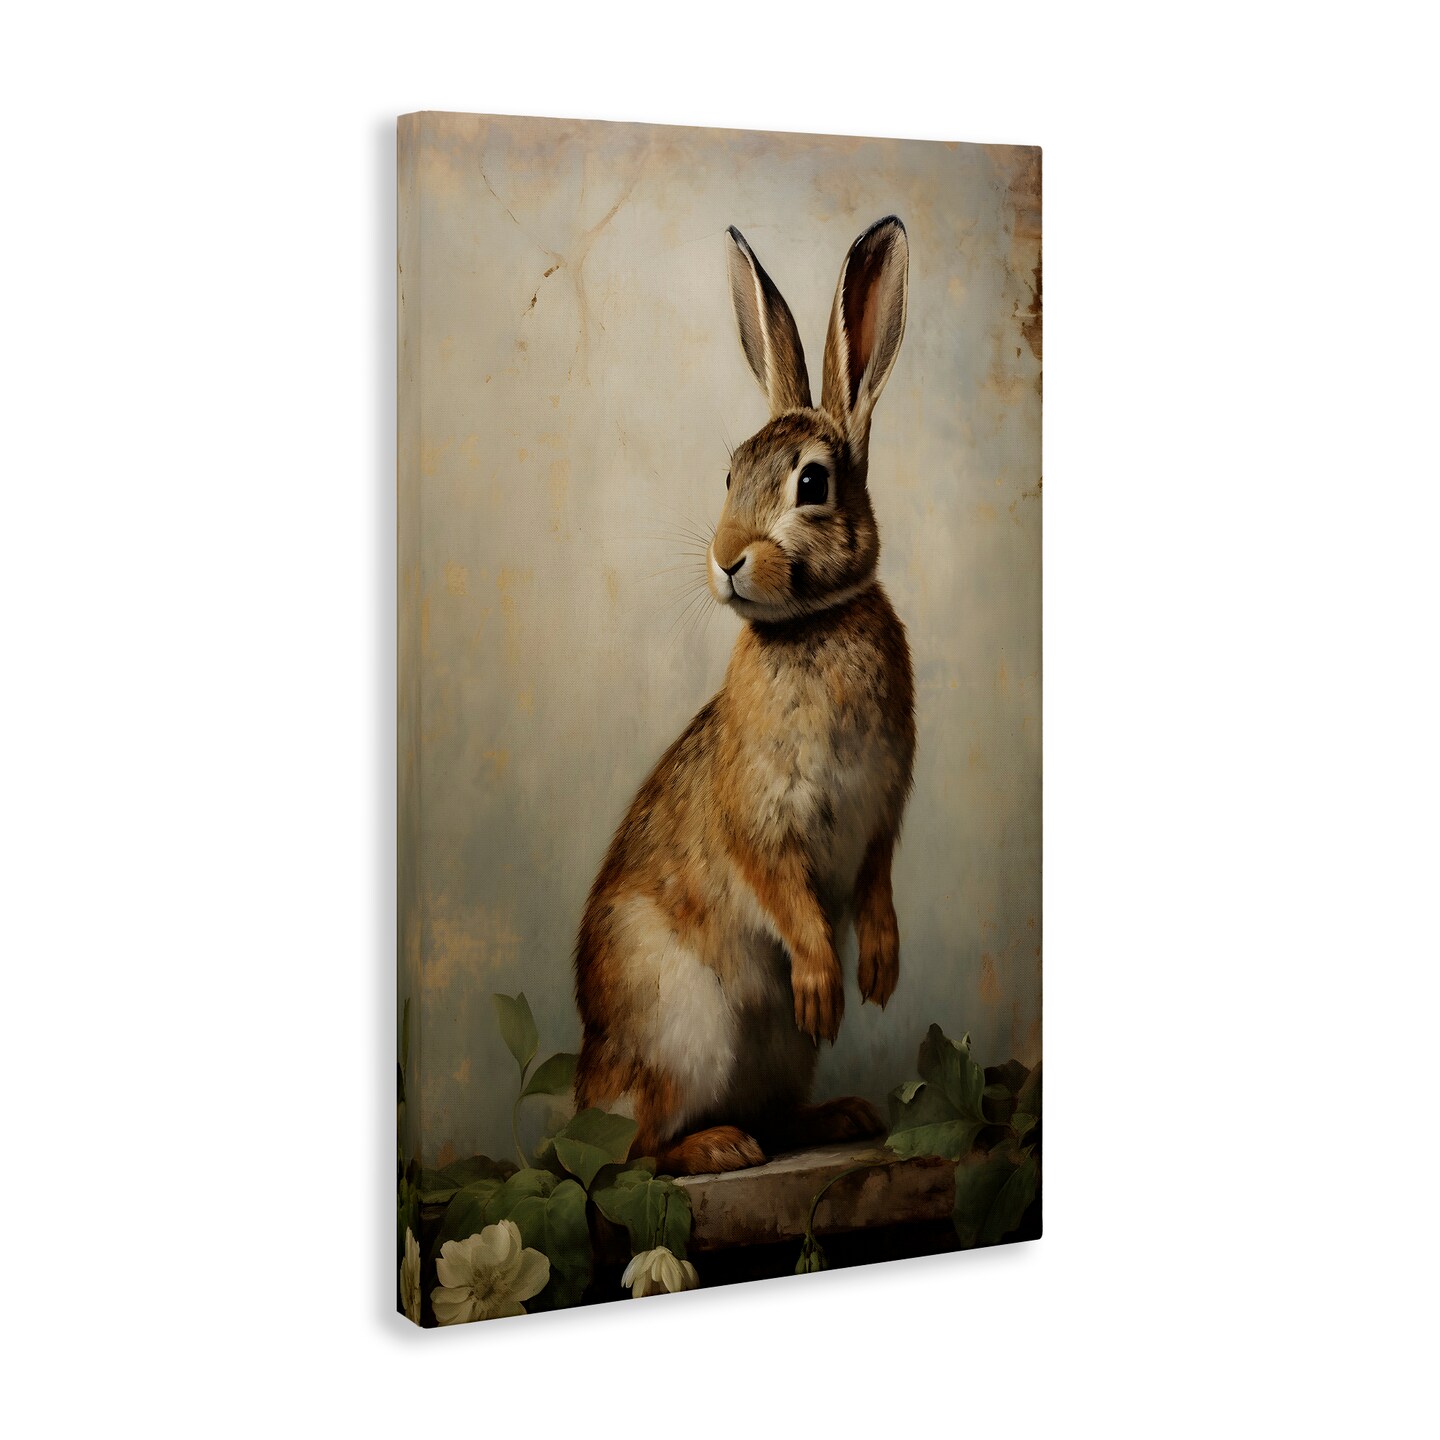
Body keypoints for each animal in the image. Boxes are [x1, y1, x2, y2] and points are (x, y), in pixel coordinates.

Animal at [574, 217, 915, 1176]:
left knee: (767, 1116)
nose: (726, 557)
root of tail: (583, 1093)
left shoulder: (883, 808)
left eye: (812, 484)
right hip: (681, 1029)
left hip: (774, 1057)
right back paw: (719, 1147)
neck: (809, 627)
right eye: (729, 476)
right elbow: (786, 895)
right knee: (638, 1151)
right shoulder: (762, 818)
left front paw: (878, 971)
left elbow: (876, 881)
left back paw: (836, 1117)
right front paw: (826, 984)